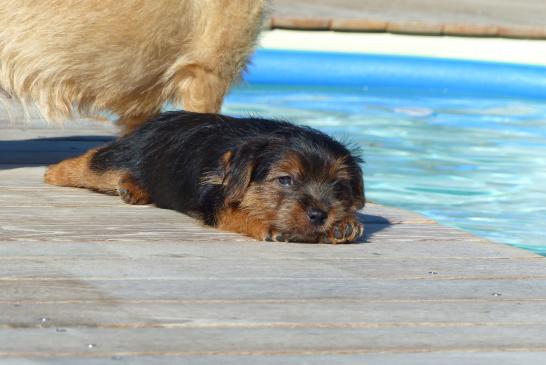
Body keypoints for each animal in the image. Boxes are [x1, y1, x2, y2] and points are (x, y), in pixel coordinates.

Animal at [43, 111, 366, 242]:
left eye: (338, 185)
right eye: (285, 180)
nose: (320, 215)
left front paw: (344, 225)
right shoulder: (216, 200)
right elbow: (237, 213)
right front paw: (265, 223)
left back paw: (133, 189)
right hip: (123, 157)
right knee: (92, 161)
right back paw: (53, 172)